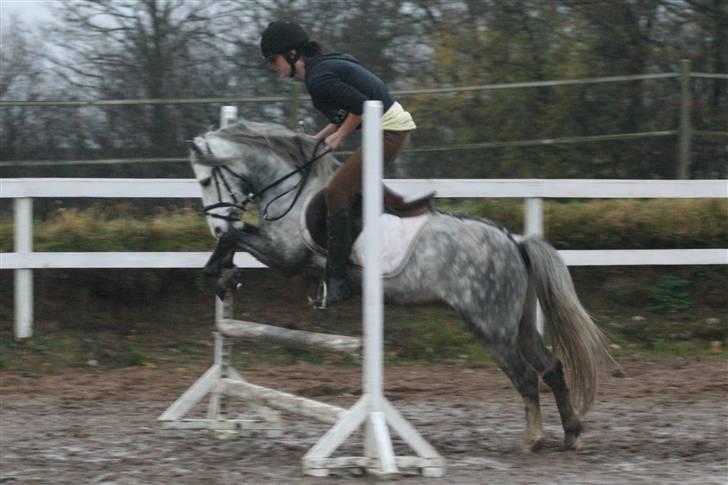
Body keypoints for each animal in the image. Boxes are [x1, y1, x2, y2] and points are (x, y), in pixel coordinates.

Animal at [188, 117, 616, 450]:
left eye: (207, 179)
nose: (214, 225)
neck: (291, 184)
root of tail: (515, 242)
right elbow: (236, 239)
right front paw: (226, 276)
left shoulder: (287, 255)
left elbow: (236, 238)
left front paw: (222, 276)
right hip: (519, 323)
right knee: (551, 367)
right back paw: (571, 433)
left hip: (491, 327)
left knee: (526, 376)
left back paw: (533, 439)